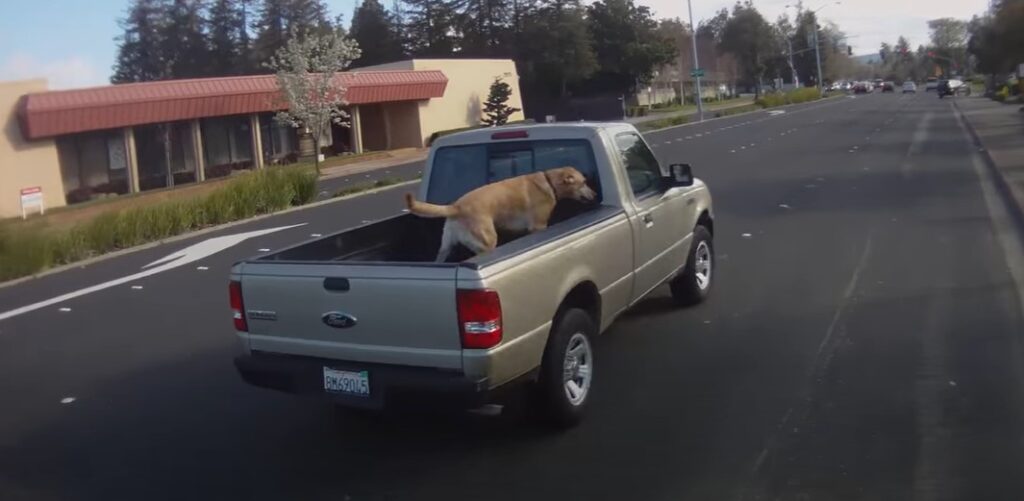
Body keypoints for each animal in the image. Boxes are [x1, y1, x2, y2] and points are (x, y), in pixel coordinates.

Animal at [403, 168, 598, 261]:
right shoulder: (538, 226)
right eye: (583, 183)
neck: (550, 182)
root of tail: (455, 207)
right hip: (487, 242)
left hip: (445, 246)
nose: (596, 194)